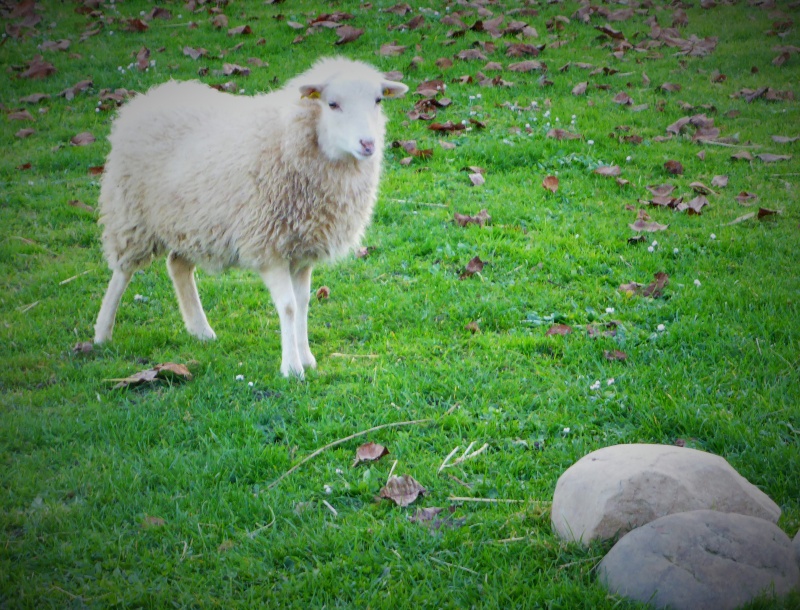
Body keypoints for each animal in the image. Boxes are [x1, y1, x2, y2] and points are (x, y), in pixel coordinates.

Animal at [92, 59, 406, 378]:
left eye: (378, 101)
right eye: (332, 104)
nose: (368, 144)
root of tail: (148, 96)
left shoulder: (302, 249)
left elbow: (303, 303)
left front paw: (306, 358)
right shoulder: (269, 245)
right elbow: (289, 307)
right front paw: (292, 368)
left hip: (192, 224)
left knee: (177, 265)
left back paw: (200, 330)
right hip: (131, 214)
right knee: (122, 272)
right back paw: (102, 332)